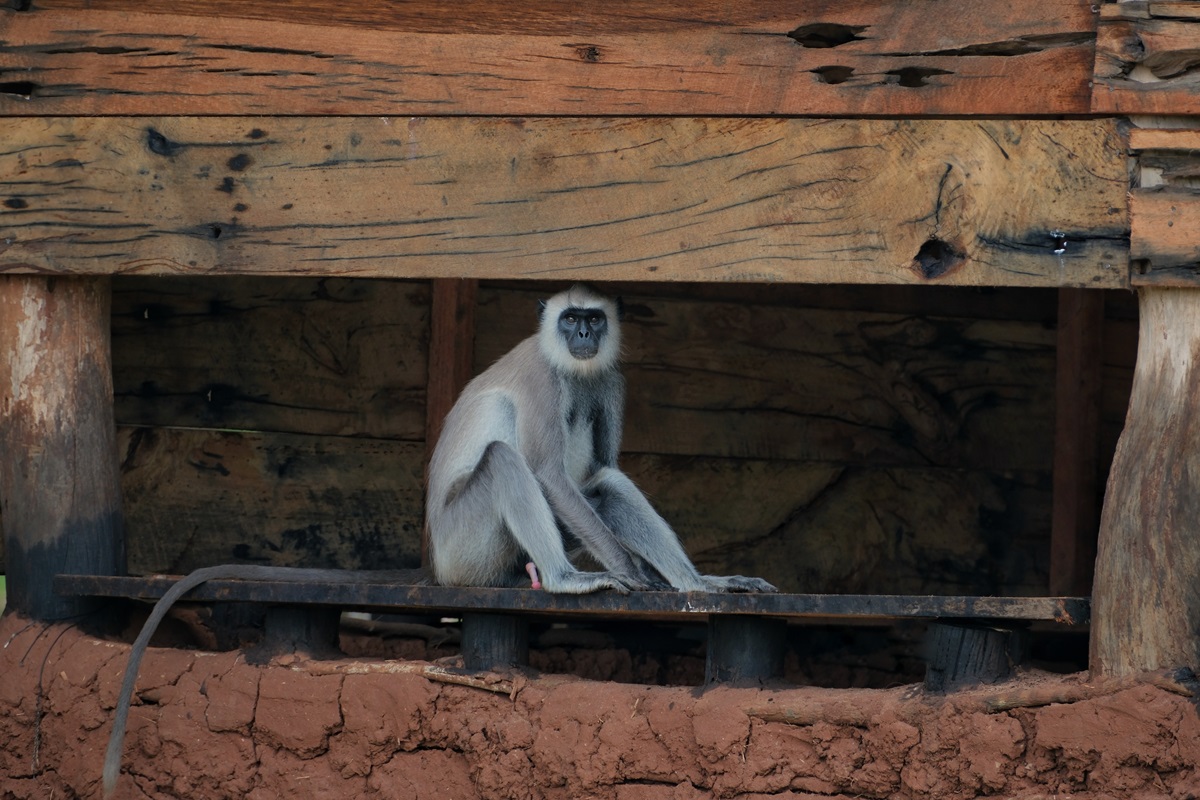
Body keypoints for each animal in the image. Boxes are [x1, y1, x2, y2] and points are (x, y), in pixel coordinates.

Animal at [426, 283, 777, 596]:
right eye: (570, 318)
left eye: (594, 319)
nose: (583, 334)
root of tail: (439, 567)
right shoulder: (541, 376)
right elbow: (548, 474)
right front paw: (631, 572)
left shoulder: (612, 379)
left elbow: (602, 466)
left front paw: (648, 572)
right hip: (462, 547)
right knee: (502, 457)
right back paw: (564, 579)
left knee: (608, 483)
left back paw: (697, 583)